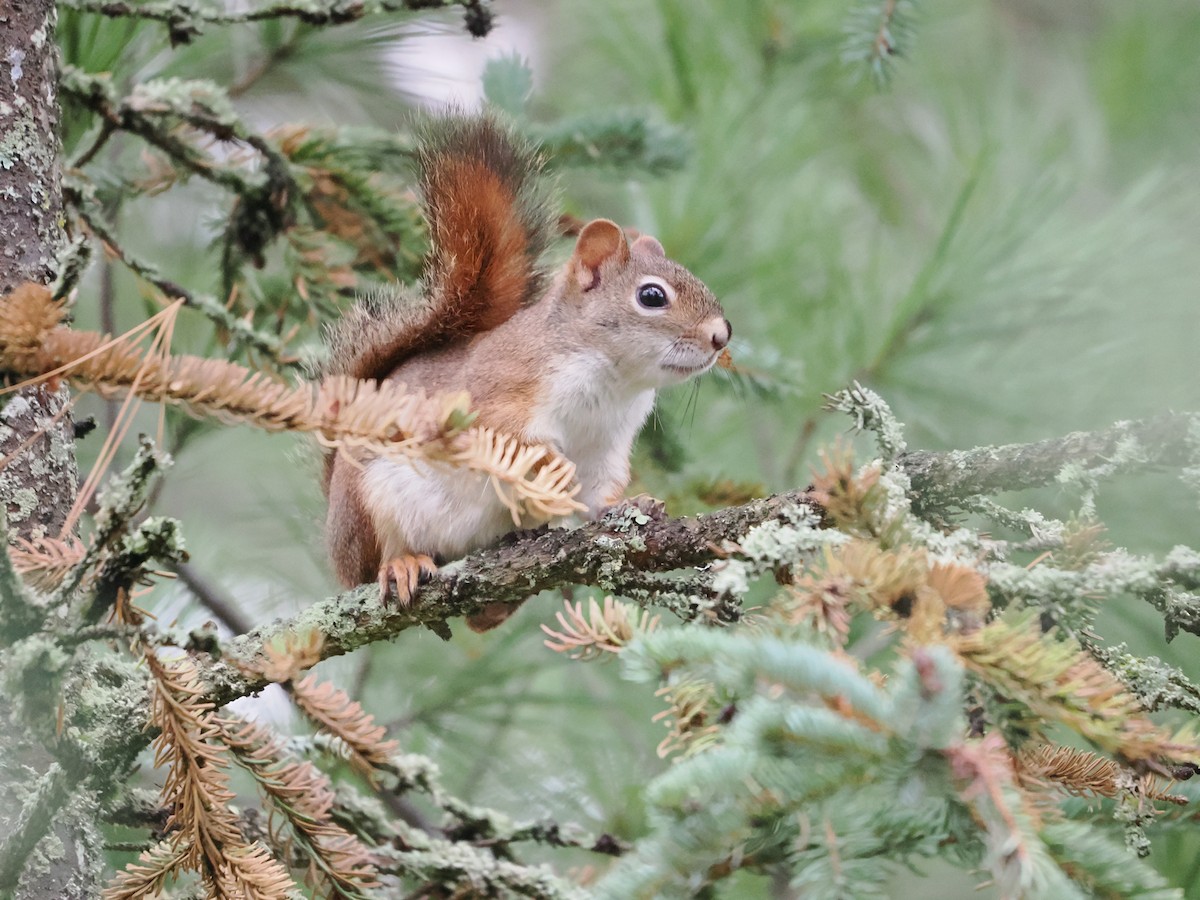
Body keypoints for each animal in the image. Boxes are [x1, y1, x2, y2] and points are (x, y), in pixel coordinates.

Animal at [321, 114, 729, 629]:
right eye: (652, 296)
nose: (722, 335)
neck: (613, 381)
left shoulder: (606, 447)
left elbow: (598, 492)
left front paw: (631, 506)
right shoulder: (494, 395)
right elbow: (510, 441)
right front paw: (552, 471)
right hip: (372, 500)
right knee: (382, 551)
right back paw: (403, 563)